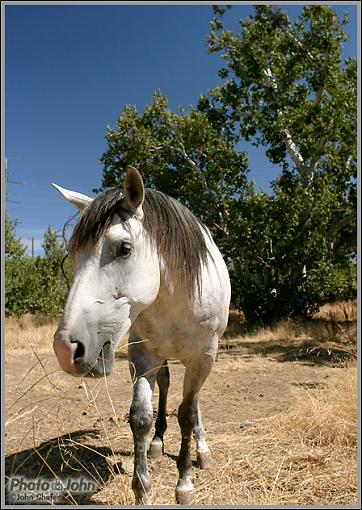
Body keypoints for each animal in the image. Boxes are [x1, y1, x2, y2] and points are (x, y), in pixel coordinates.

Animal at [52, 166, 230, 502]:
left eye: (124, 248)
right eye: (72, 252)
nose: (66, 349)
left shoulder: (202, 357)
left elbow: (187, 414)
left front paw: (184, 484)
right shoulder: (142, 355)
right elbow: (140, 417)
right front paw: (142, 488)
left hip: (202, 359)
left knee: (193, 402)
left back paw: (202, 450)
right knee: (166, 386)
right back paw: (158, 443)